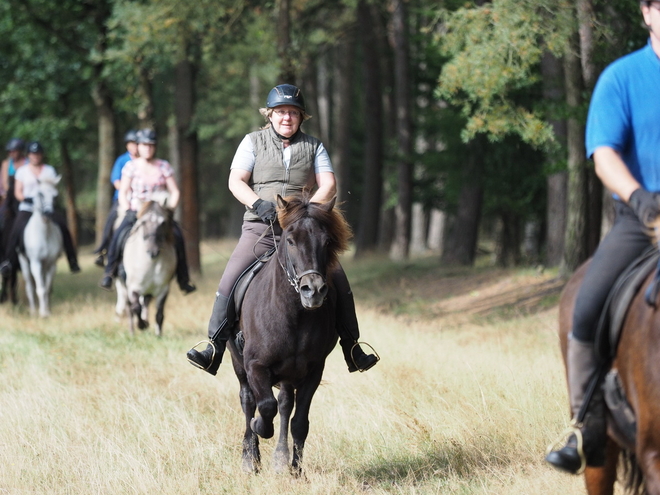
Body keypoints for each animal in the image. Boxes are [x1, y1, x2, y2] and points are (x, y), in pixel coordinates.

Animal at [18, 178, 63, 318]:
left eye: (55, 196)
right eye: (40, 194)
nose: (48, 213)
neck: (44, 233)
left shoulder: (51, 264)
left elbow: (47, 289)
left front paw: (47, 311)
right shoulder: (35, 263)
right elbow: (40, 289)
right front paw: (43, 314)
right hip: (24, 263)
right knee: (30, 287)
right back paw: (33, 311)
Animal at [114, 198, 177, 338]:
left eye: (163, 222)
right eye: (143, 222)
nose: (153, 251)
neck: (150, 263)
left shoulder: (163, 289)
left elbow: (159, 313)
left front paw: (158, 334)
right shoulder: (133, 288)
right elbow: (136, 308)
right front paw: (142, 325)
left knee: (146, 303)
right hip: (124, 286)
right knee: (130, 308)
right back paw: (132, 331)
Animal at [227, 192, 350, 474]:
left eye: (327, 241)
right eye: (291, 241)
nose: (313, 291)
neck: (293, 314)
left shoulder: (313, 371)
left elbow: (298, 420)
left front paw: (295, 469)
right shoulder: (255, 365)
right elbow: (265, 406)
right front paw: (258, 429)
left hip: (289, 373)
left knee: (285, 404)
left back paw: (280, 459)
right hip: (239, 363)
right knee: (248, 400)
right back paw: (250, 458)